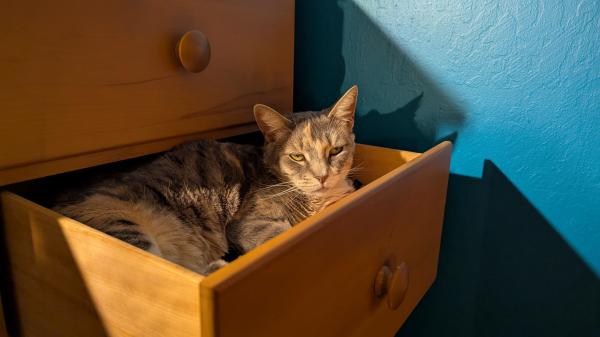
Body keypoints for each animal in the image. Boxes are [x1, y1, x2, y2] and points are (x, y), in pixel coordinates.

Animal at [51, 85, 358, 274]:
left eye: (335, 150)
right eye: (297, 157)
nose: (322, 176)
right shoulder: (247, 223)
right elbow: (279, 232)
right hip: (121, 222)